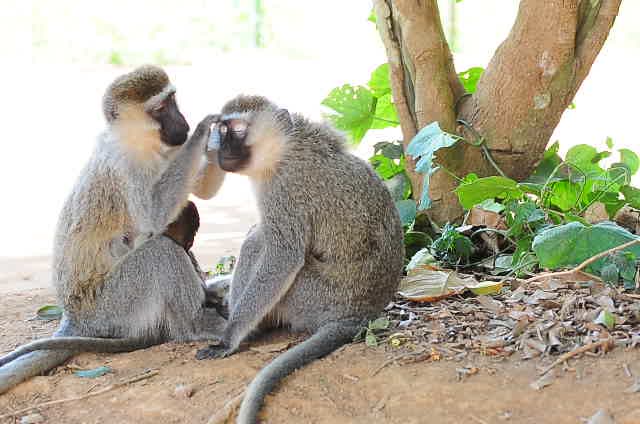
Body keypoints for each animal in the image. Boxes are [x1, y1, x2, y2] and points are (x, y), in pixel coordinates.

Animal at [0, 66, 227, 394]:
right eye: (160, 108)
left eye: (173, 99)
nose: (182, 123)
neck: (139, 141)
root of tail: (76, 318)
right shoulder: (126, 165)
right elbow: (154, 216)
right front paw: (204, 129)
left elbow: (200, 191)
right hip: (113, 306)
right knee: (161, 251)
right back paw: (196, 324)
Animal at [195, 95, 405, 424]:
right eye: (222, 128)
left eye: (238, 130)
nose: (222, 150)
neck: (284, 150)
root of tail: (359, 315)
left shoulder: (284, 191)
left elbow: (283, 256)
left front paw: (228, 338)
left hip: (311, 298)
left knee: (259, 240)